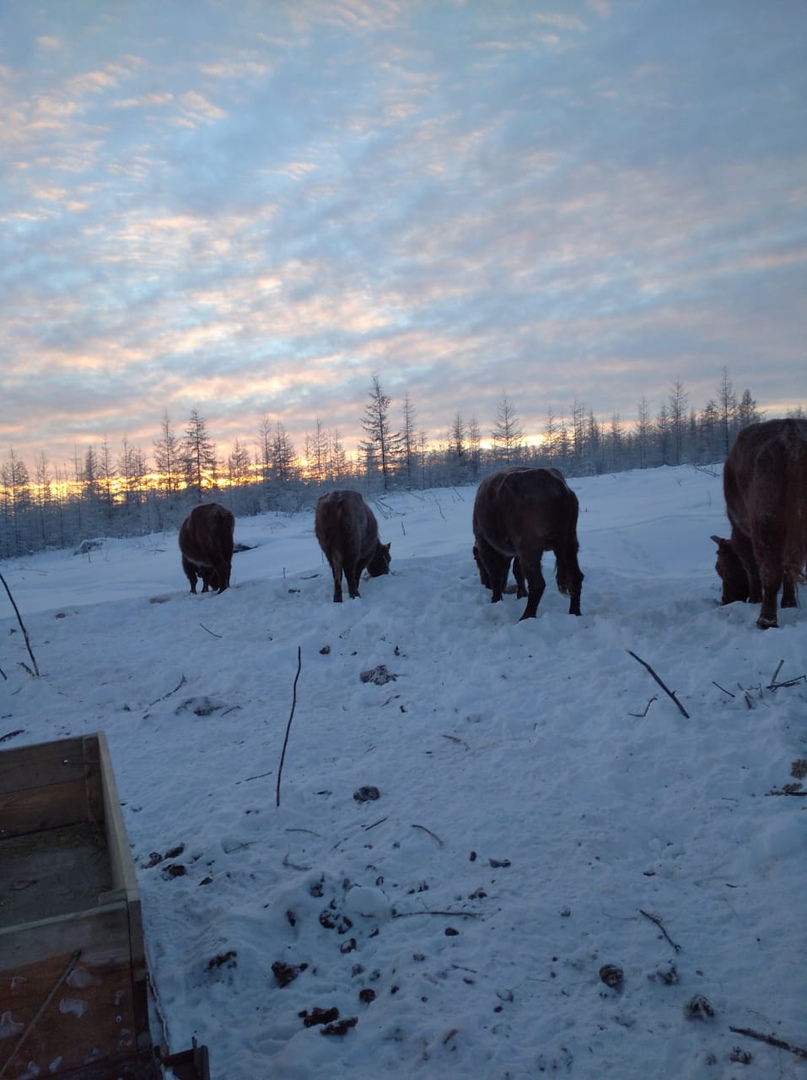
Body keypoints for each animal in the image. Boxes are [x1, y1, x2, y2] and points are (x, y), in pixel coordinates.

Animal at [471, 466, 583, 626]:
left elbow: (496, 574)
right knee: (576, 577)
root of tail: (560, 489)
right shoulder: (517, 553)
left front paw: (495, 600)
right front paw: (521, 594)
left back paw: (526, 617)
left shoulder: (487, 546)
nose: (484, 584)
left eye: (477, 560)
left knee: (537, 584)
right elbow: (517, 572)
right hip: (569, 545)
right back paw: (575, 612)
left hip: (531, 550)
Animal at [713, 416, 807, 630]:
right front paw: (788, 603)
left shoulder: (741, 531)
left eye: (719, 568)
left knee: (770, 570)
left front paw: (754, 599)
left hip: (766, 522)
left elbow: (751, 565)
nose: (724, 600)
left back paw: (766, 619)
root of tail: (793, 437)